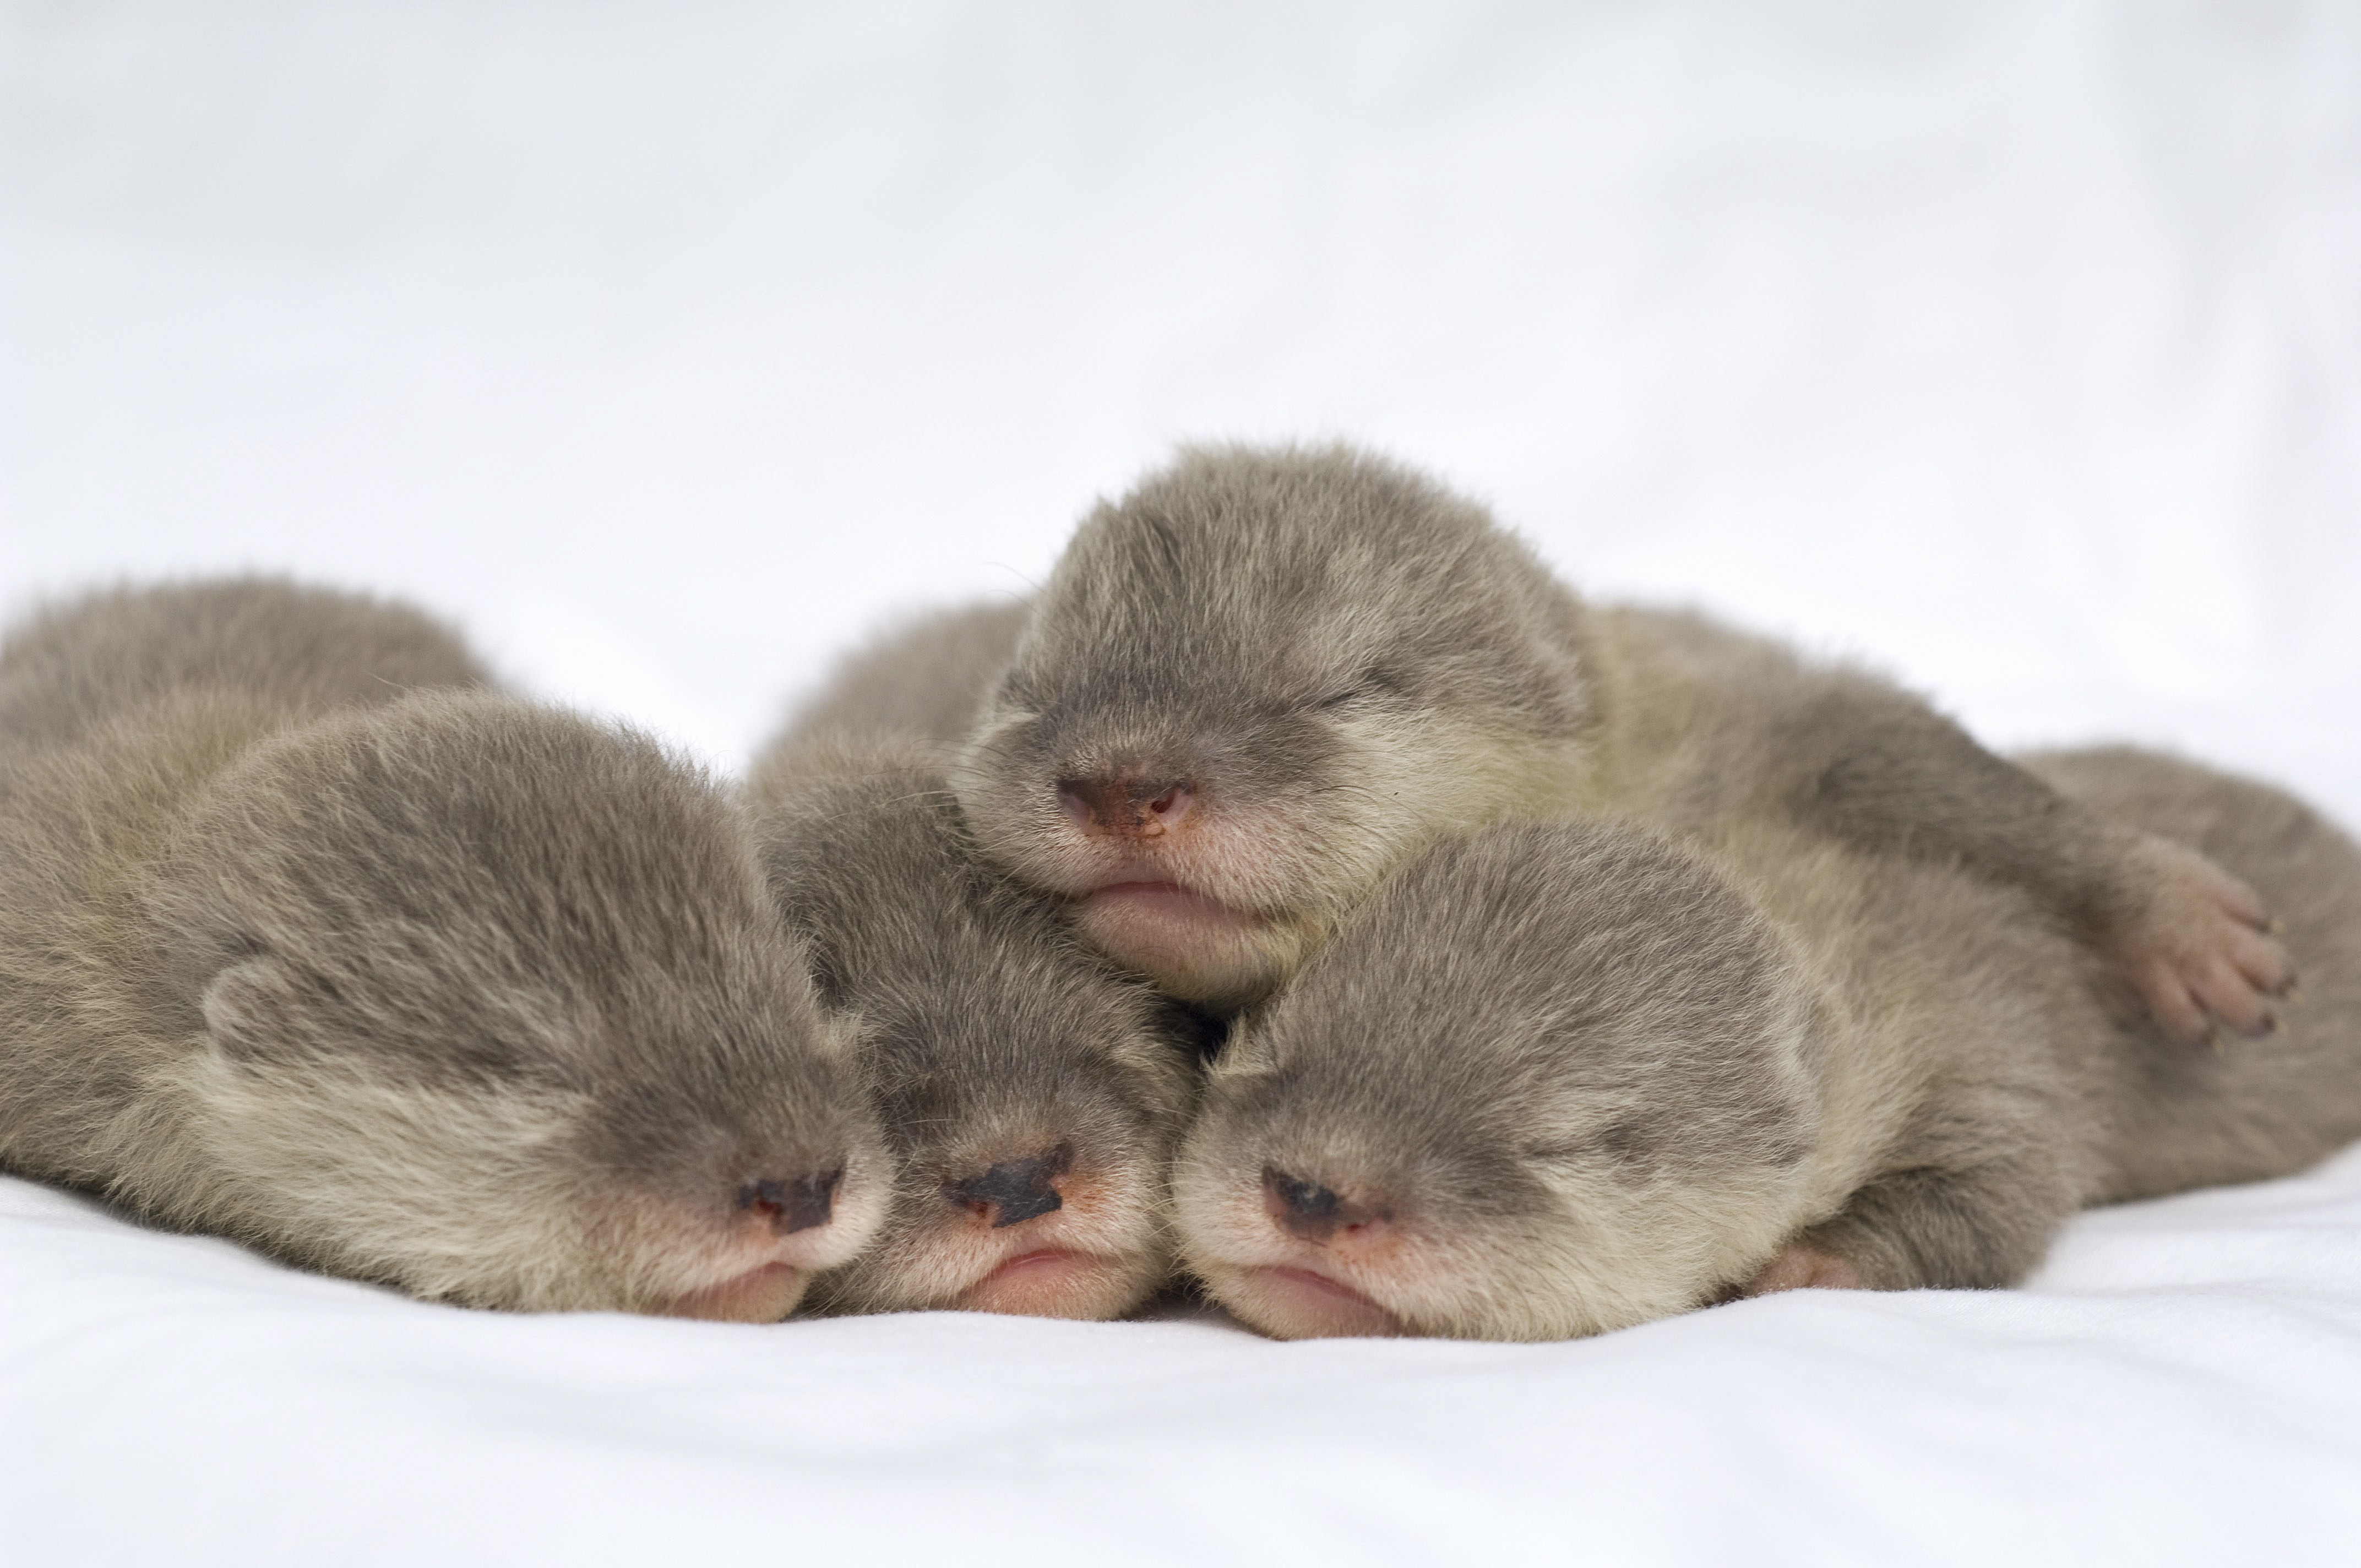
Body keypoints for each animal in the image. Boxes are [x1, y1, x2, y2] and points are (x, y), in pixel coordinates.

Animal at [948, 444, 2291, 1033]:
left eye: (1341, 688)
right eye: (1028, 689)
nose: (1124, 783)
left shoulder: (1738, 723)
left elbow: (1905, 750)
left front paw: (2160, 904)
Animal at [1172, 747, 2361, 1341]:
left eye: (1560, 1142)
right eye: (1270, 1043)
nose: (1312, 1190)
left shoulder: (2001, 1044)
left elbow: (1996, 1193)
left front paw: (1806, 1262)